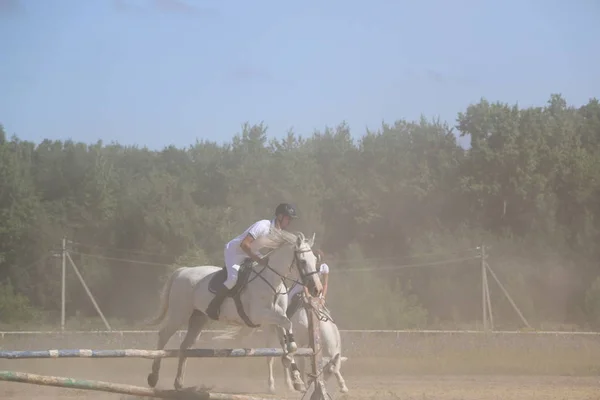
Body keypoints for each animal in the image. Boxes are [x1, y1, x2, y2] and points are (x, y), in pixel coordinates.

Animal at [145, 228, 324, 390]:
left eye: (315, 260)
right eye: (303, 261)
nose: (317, 289)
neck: (273, 281)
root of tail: (182, 271)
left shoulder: (275, 319)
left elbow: (286, 339)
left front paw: (296, 379)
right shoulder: (260, 315)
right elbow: (288, 329)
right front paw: (290, 366)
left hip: (198, 318)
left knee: (185, 346)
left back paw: (178, 382)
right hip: (180, 313)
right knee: (164, 335)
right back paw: (153, 377)